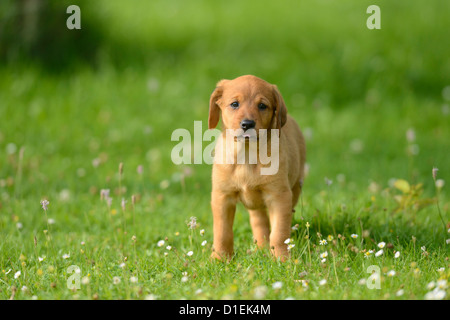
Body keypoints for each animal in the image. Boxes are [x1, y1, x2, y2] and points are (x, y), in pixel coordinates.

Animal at [208, 75, 306, 262]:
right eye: (234, 104)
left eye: (262, 106)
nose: (247, 124)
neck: (247, 155)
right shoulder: (222, 197)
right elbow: (222, 233)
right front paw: (219, 259)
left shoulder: (279, 196)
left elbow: (279, 232)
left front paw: (282, 259)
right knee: (259, 221)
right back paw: (261, 247)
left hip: (296, 187)